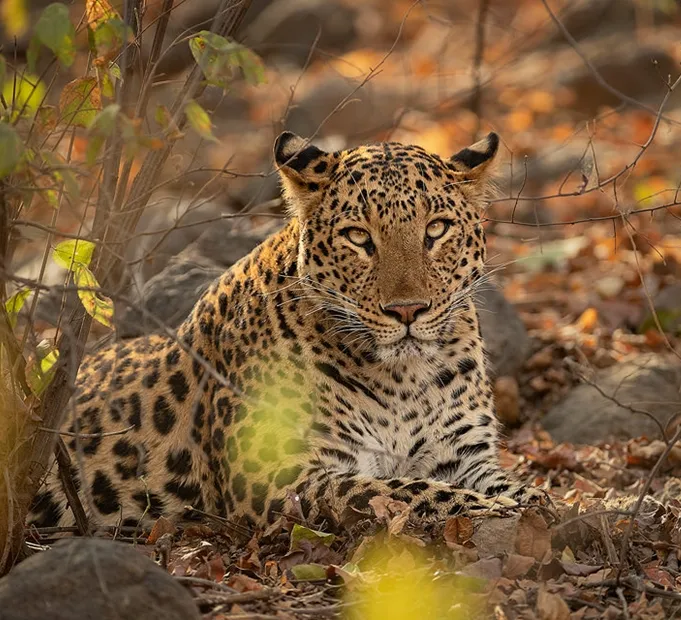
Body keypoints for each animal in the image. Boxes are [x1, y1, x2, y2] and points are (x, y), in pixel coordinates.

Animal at [29, 131, 547, 532]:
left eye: (436, 229)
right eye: (358, 237)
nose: (408, 311)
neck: (403, 379)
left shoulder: (461, 454)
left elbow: (499, 482)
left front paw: (533, 498)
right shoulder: (277, 475)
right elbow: (402, 489)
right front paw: (496, 507)